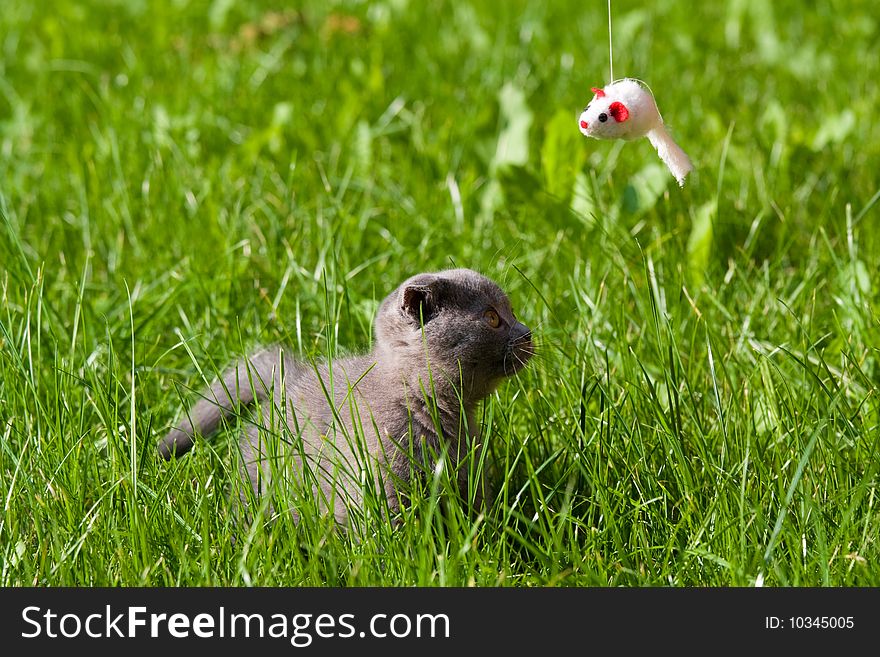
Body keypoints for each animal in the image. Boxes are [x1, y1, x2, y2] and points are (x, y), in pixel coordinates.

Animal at [158, 266, 532, 524]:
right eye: (492, 318)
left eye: (511, 311)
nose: (527, 332)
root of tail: (293, 378)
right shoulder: (377, 481)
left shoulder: (468, 476)